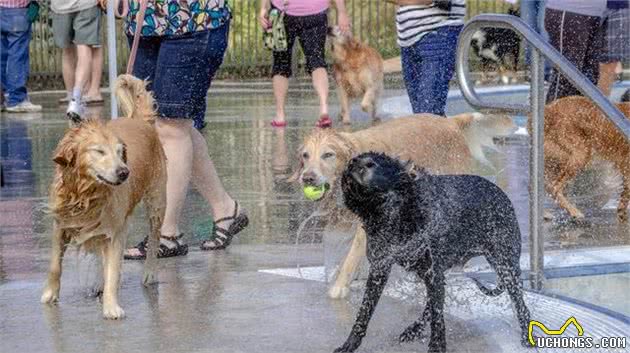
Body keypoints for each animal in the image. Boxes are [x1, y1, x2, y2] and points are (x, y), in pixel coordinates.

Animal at [40, 75, 167, 320]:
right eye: (99, 151)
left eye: (120, 152)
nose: (124, 172)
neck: (85, 193)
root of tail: (141, 121)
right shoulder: (61, 224)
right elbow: (54, 265)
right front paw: (50, 295)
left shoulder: (115, 231)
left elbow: (113, 269)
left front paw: (111, 306)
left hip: (156, 201)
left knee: (154, 238)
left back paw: (149, 273)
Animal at [294, 113, 516, 296]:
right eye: (306, 155)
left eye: (328, 155)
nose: (308, 178)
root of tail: (451, 122)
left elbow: (351, 258)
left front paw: (338, 288)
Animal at [336, 151, 532, 352]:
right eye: (353, 161)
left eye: (370, 164)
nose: (351, 164)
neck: (396, 214)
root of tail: (501, 192)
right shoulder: (380, 269)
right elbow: (364, 313)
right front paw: (349, 344)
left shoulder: (432, 271)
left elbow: (438, 319)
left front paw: (437, 346)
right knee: (431, 303)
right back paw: (414, 329)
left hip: (505, 265)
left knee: (522, 306)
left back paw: (526, 337)